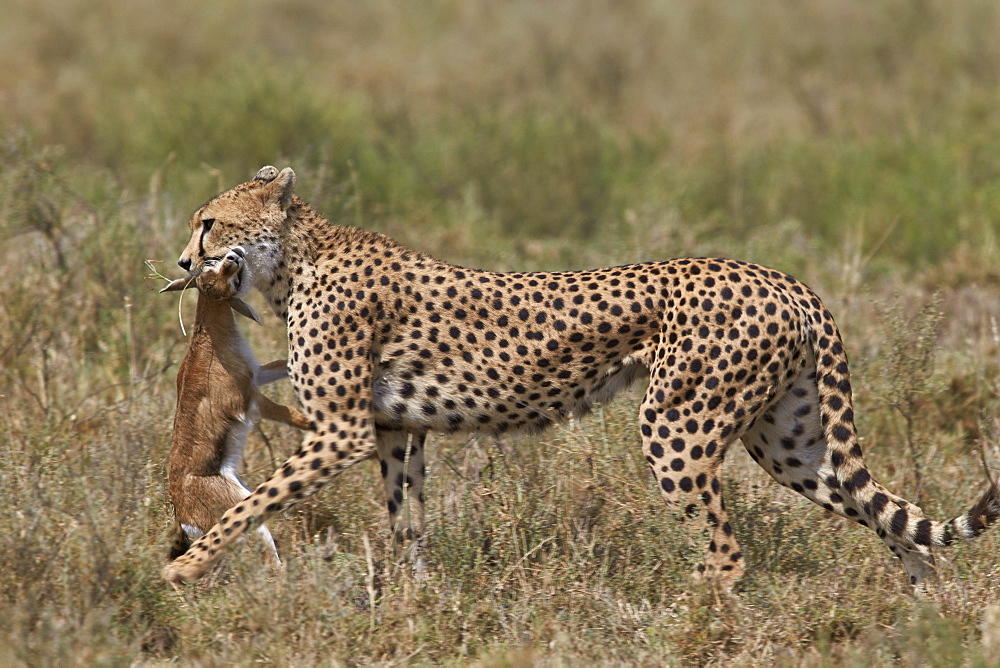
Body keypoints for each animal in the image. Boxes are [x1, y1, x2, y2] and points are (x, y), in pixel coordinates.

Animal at [162, 248, 310, 568]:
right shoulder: (251, 401)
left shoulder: (258, 374)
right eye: (205, 271)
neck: (210, 345)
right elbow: (293, 415)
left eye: (210, 260)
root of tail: (183, 517)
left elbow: (284, 364)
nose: (234, 256)